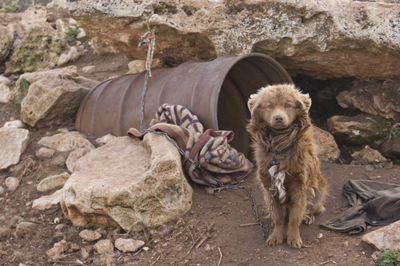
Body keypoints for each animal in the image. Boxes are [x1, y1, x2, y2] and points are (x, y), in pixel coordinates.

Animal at [247, 84, 328, 248]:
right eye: (269, 106)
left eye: (288, 105)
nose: (278, 118)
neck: (280, 145)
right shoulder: (270, 188)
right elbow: (278, 217)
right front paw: (276, 236)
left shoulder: (300, 187)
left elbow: (294, 218)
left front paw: (294, 239)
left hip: (319, 190)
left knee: (314, 208)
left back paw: (308, 217)